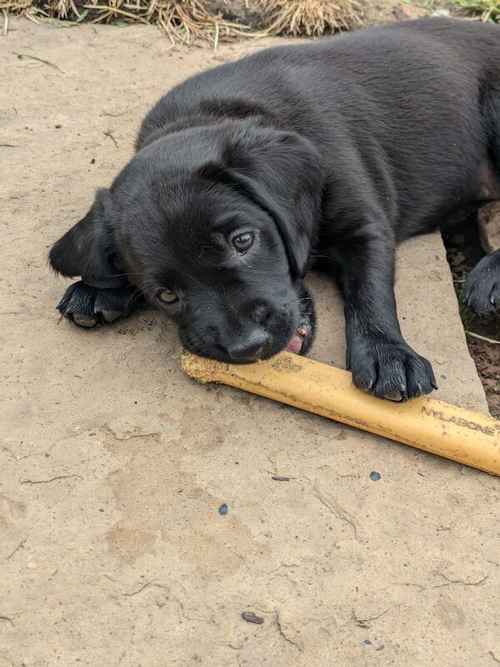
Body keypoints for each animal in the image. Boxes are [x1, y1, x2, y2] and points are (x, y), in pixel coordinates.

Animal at [49, 17, 500, 402]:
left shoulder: (365, 226)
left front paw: (387, 353)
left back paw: (489, 278)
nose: (248, 346)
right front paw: (99, 288)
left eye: (243, 241)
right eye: (165, 295)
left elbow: (369, 289)